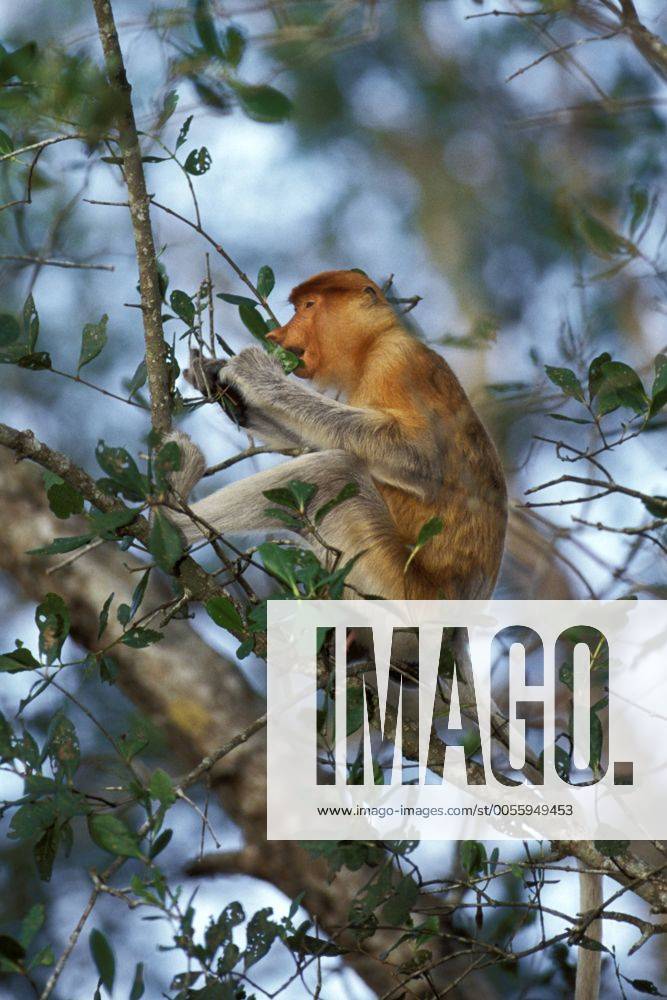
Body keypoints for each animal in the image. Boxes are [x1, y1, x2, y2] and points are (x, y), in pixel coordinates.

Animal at [166, 268, 508, 606]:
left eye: (308, 306)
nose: (276, 336)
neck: (371, 344)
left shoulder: (398, 360)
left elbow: (420, 458)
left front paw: (254, 371)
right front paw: (213, 376)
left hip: (387, 580)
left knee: (333, 471)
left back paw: (171, 516)